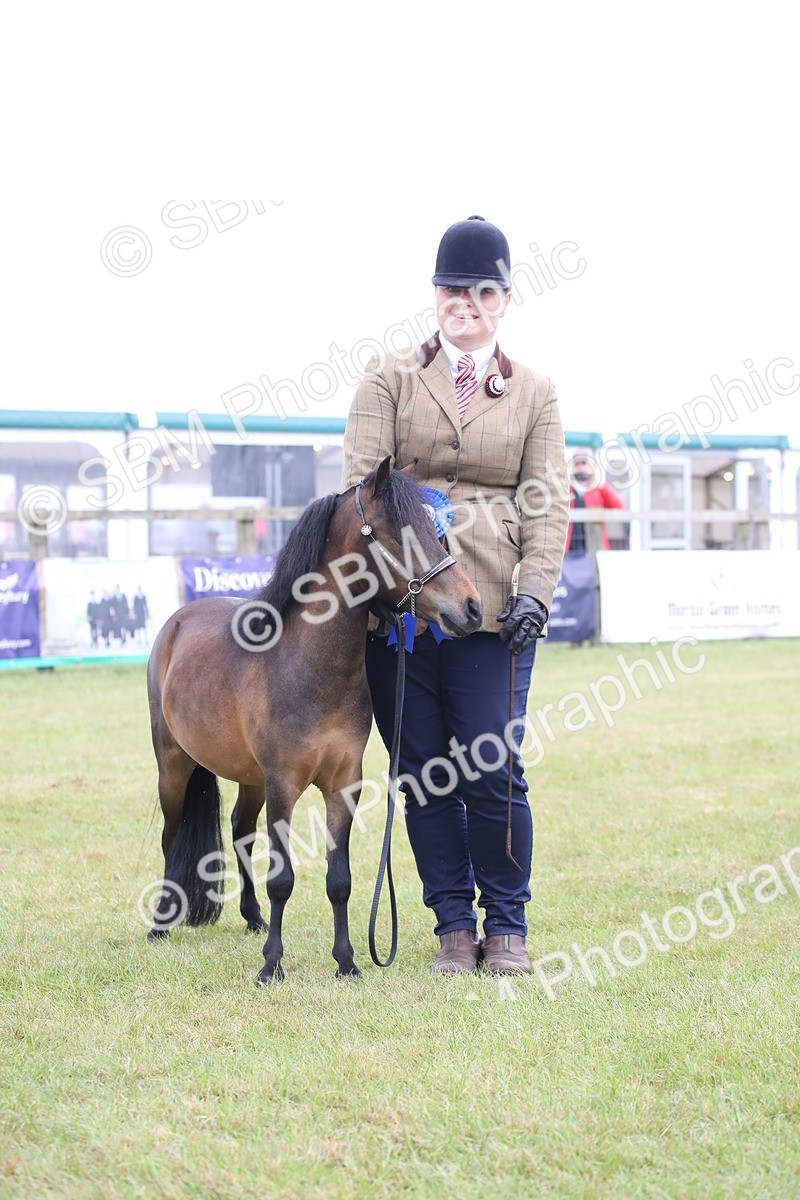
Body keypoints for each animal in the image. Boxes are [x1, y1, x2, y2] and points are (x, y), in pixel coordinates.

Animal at [145, 458, 483, 982]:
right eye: (399, 534)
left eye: (435, 531)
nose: (471, 608)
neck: (307, 665)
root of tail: (177, 623)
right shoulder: (284, 783)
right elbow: (282, 878)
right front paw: (271, 966)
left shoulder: (343, 783)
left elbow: (339, 878)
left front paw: (346, 961)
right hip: (174, 765)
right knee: (172, 835)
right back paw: (162, 923)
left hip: (250, 779)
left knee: (240, 831)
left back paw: (253, 919)